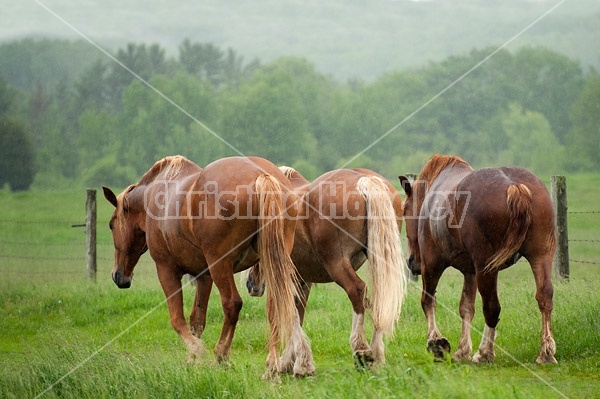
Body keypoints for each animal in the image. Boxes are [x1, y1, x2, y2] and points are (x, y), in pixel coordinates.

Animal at [102, 155, 314, 380]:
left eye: (111, 225)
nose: (118, 276)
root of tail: (262, 175)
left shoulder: (167, 270)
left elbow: (177, 319)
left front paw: (197, 352)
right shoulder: (203, 276)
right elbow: (197, 319)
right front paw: (193, 359)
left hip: (220, 265)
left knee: (232, 304)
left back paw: (222, 354)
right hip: (269, 263)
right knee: (276, 306)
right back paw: (271, 366)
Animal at [398, 154, 556, 366]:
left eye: (404, 210)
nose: (411, 261)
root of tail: (515, 187)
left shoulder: (432, 264)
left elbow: (428, 301)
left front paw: (435, 342)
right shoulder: (470, 271)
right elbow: (466, 307)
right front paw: (462, 350)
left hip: (485, 268)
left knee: (491, 307)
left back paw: (484, 353)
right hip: (540, 256)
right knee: (544, 296)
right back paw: (545, 352)